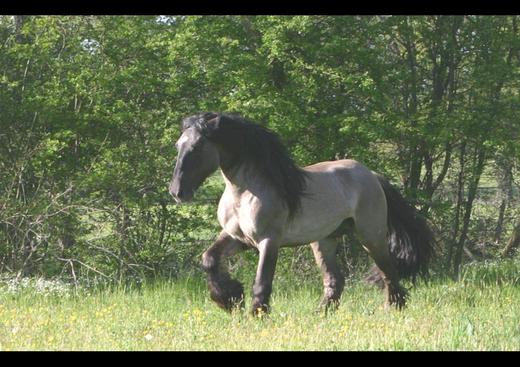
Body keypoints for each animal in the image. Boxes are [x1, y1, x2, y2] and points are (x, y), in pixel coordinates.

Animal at [169, 112, 432, 316]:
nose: (177, 191)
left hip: (371, 236)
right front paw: (230, 299)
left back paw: (392, 308)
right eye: (178, 146)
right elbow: (209, 259)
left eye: (198, 147)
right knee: (334, 281)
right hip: (324, 241)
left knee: (389, 271)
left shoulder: (268, 241)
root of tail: (373, 176)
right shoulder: (238, 238)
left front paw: (256, 314)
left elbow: (262, 282)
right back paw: (320, 314)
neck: (243, 194)